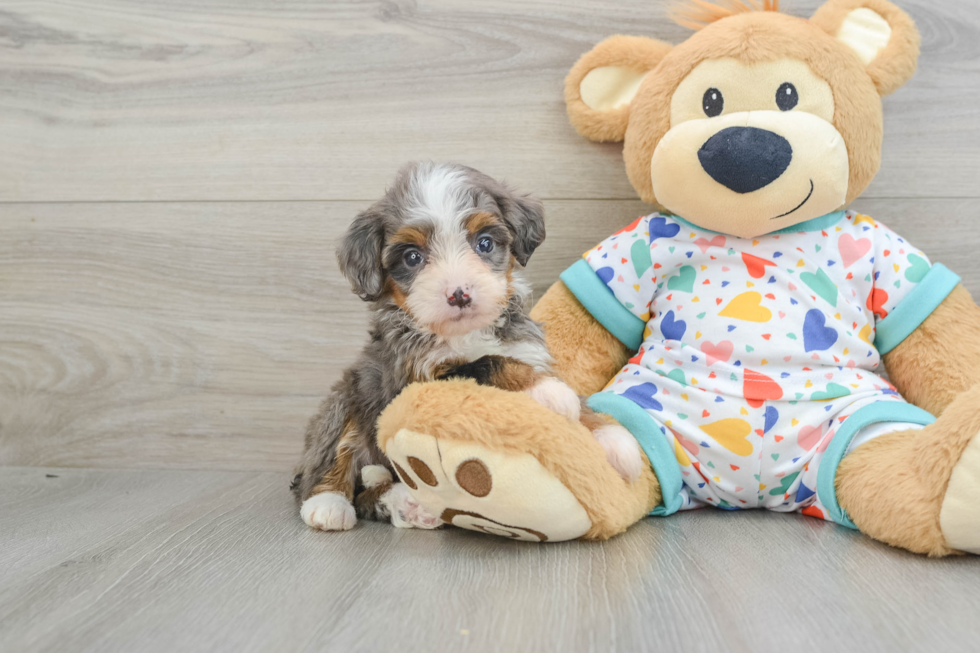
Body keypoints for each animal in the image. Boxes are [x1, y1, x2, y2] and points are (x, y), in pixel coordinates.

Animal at [292, 162, 644, 528]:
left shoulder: (526, 349)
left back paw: (409, 504)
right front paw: (547, 391)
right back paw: (329, 503)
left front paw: (612, 438)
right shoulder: (417, 379)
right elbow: (488, 362)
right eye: (413, 257)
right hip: (346, 398)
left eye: (484, 243)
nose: (458, 294)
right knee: (330, 457)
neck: (466, 333)